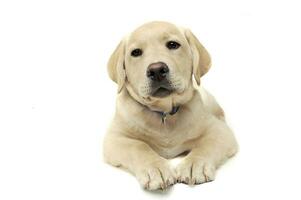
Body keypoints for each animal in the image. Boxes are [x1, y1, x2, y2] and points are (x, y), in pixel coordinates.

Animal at [103, 21, 237, 190]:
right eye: (136, 52)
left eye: (173, 45)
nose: (156, 70)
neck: (164, 114)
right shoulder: (114, 138)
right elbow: (139, 146)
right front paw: (155, 169)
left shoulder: (221, 131)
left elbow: (206, 144)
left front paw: (195, 164)